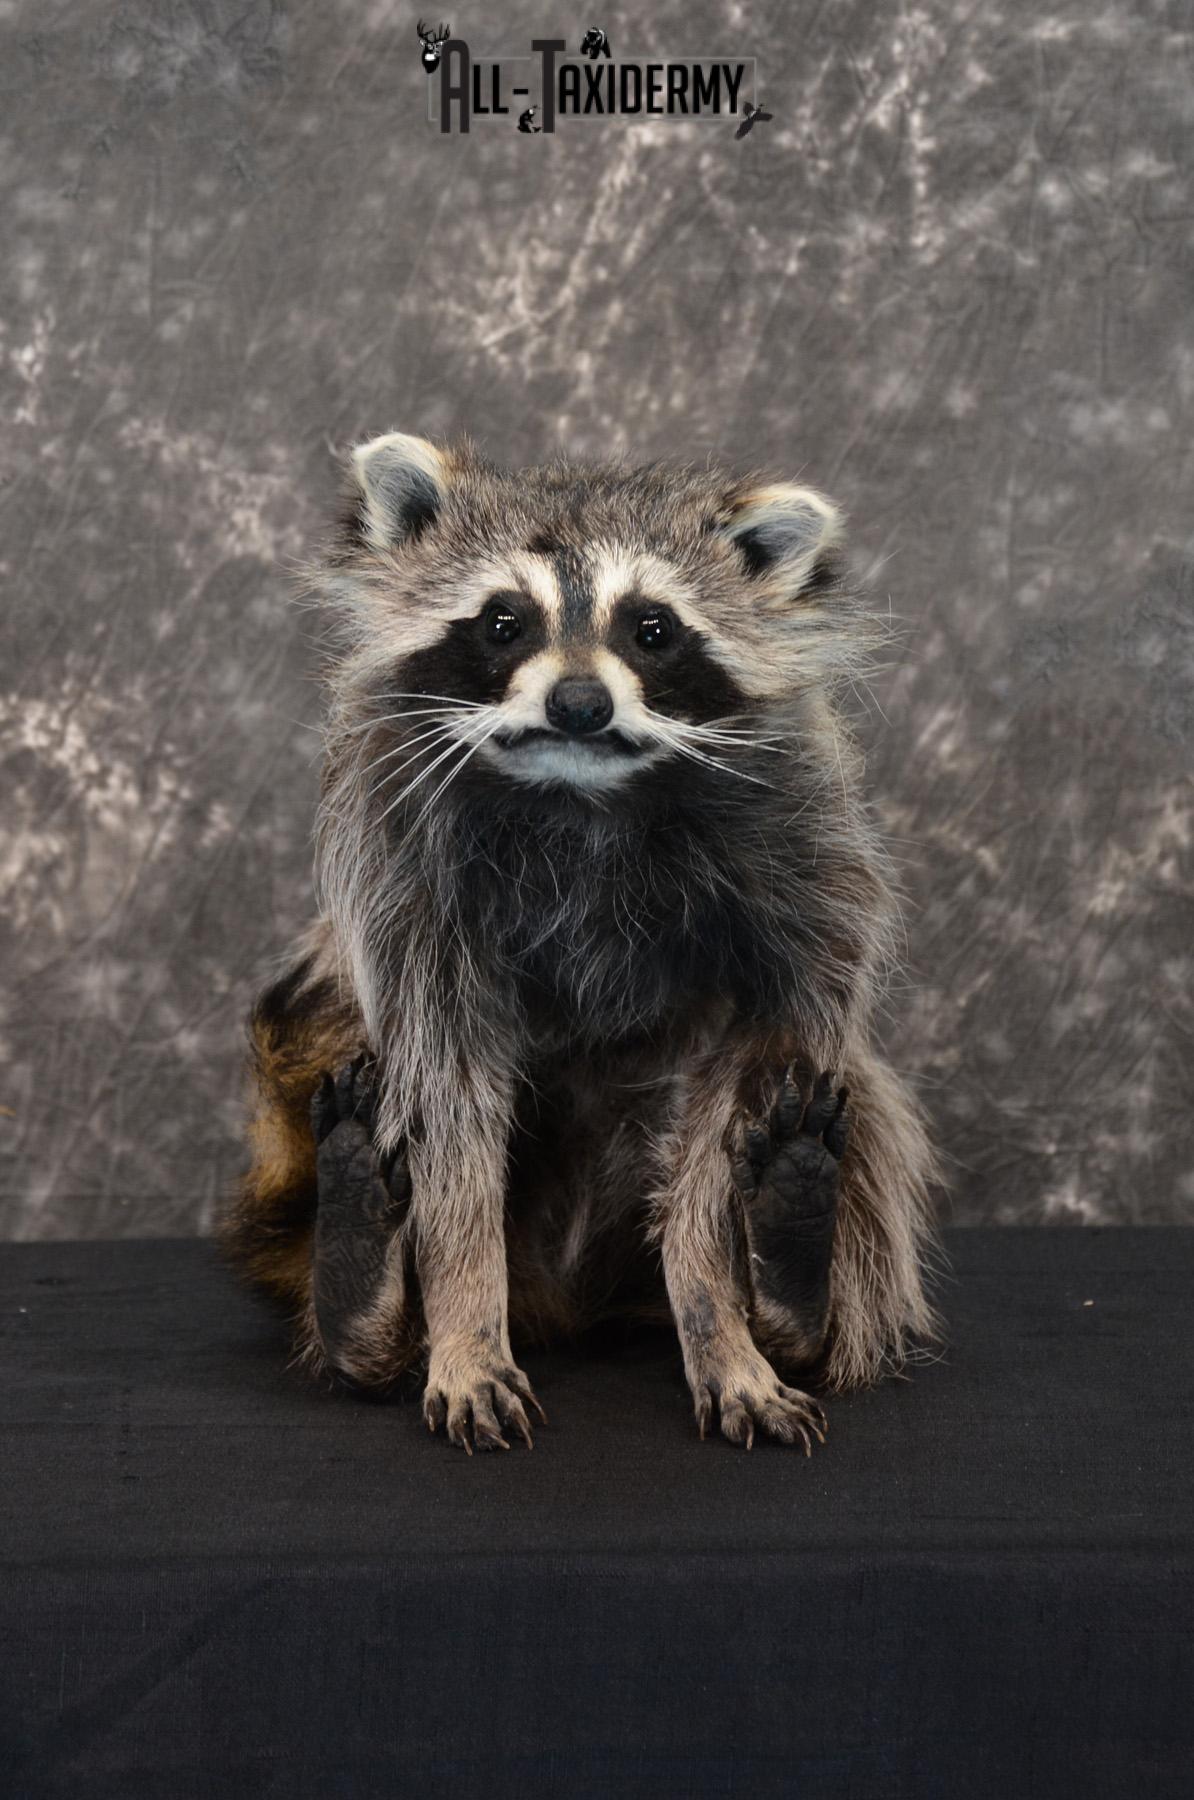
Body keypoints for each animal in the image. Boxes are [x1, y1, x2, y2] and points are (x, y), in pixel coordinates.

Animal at [220, 432, 941, 1453]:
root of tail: (568, 1302)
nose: (577, 703)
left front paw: (718, 1317)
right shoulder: (401, 868)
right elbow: (444, 1094)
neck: (579, 793)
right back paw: (364, 1295)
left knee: (857, 1114)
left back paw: (794, 1285)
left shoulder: (799, 870)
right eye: (504, 621)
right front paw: (465, 1316)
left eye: (652, 628)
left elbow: (735, 1092)